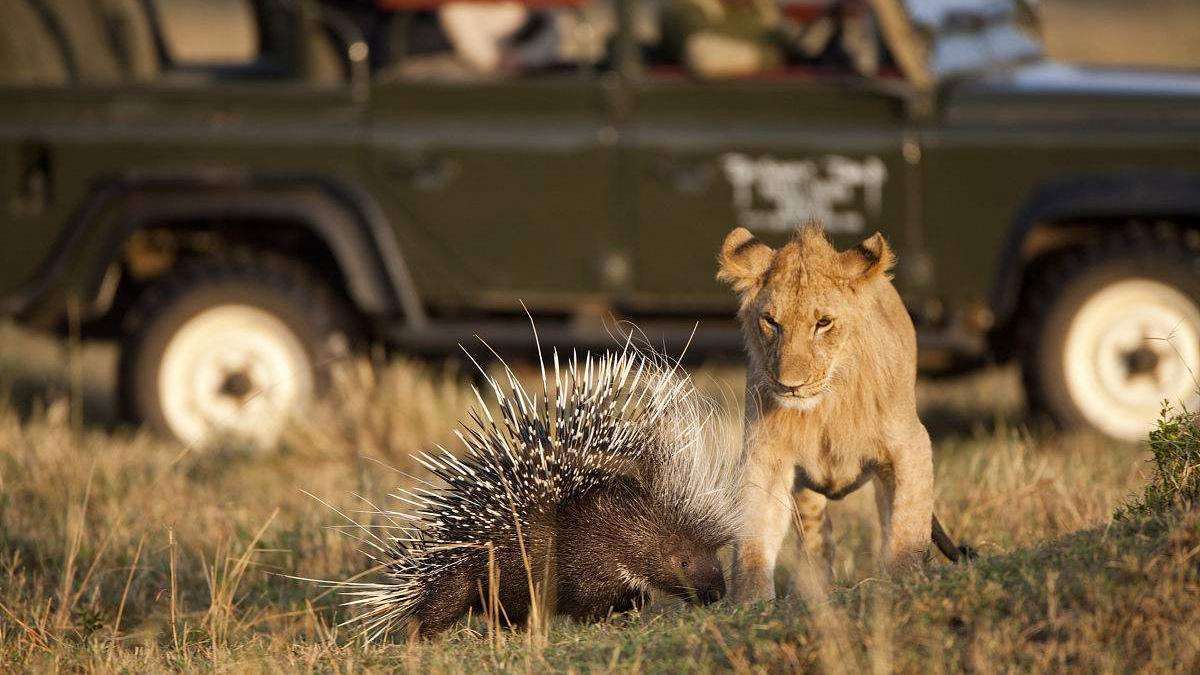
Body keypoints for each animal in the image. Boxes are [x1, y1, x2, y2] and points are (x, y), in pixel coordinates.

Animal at [715, 220, 960, 598]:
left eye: (823, 323)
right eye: (771, 321)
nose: (790, 384)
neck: (825, 408)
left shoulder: (910, 444)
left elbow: (908, 520)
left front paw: (905, 579)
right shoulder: (765, 454)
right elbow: (753, 534)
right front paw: (749, 600)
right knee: (816, 537)